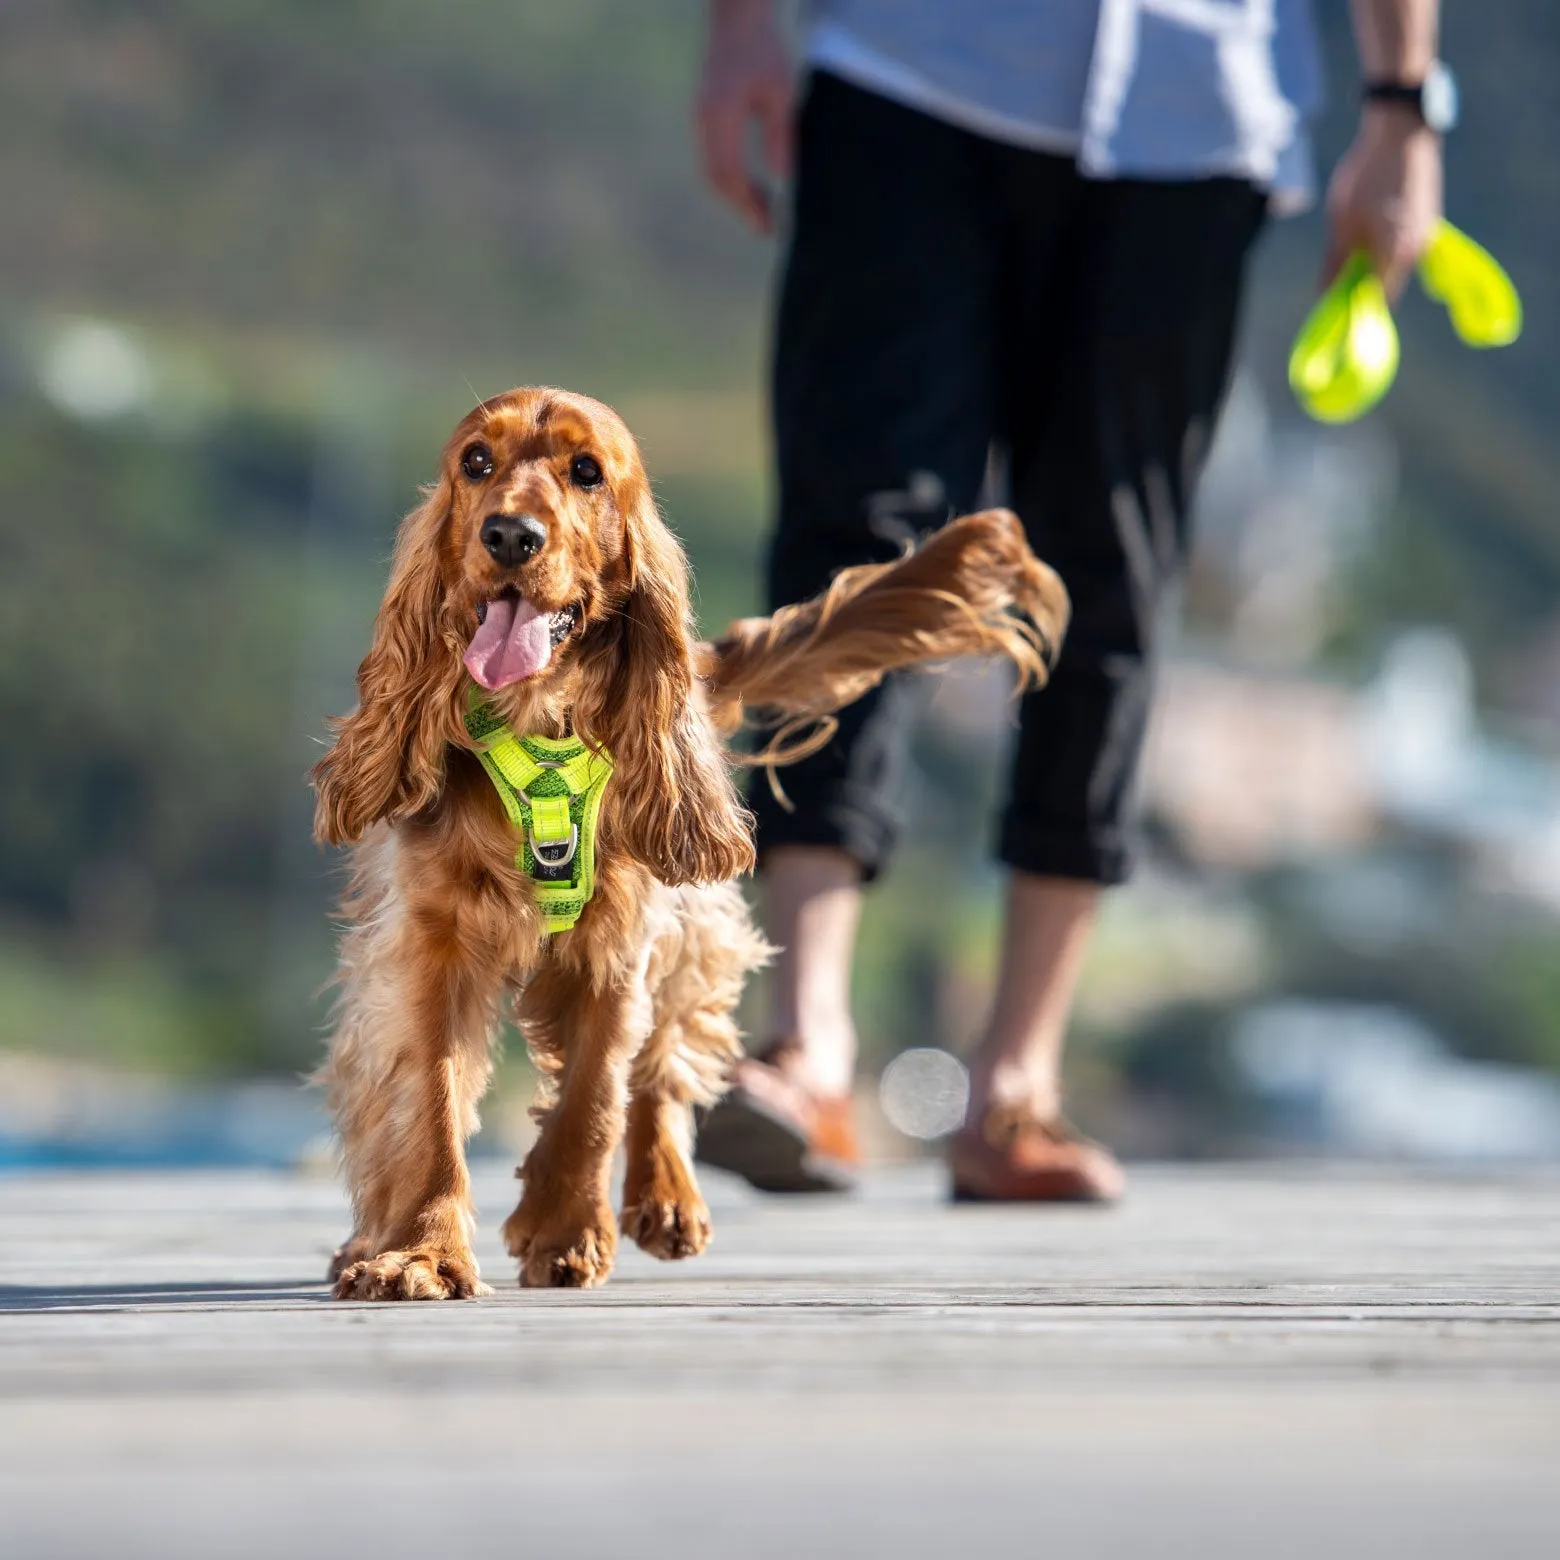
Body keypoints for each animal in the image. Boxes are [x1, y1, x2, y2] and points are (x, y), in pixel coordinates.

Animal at [316, 383, 1073, 1297]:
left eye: (586, 471)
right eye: (476, 462)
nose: (509, 535)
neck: (539, 730)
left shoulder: (620, 942)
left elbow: (597, 1096)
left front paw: (565, 1230)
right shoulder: (430, 943)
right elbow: (427, 1103)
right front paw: (422, 1252)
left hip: (690, 924)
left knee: (664, 1063)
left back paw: (668, 1197)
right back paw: (369, 1237)